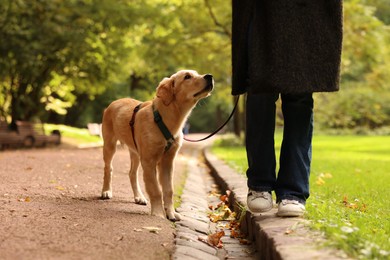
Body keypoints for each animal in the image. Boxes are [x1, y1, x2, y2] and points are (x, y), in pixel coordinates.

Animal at [100, 70, 213, 220]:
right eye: (187, 77)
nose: (210, 77)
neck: (164, 119)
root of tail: (114, 102)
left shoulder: (168, 161)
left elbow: (168, 189)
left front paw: (171, 212)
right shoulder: (149, 161)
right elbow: (155, 189)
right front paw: (159, 213)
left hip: (135, 152)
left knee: (132, 173)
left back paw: (139, 197)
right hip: (110, 145)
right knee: (108, 168)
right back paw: (106, 191)